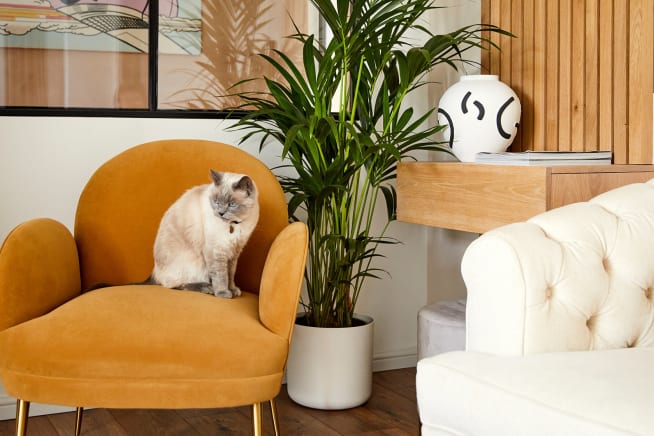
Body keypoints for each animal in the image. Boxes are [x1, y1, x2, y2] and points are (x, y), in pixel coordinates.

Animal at [149, 169, 262, 298]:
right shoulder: (216, 251)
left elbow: (230, 274)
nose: (221, 213)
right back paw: (208, 288)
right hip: (195, 264)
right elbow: (221, 276)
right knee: (175, 285)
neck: (233, 224)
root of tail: (154, 273)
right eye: (216, 202)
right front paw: (223, 293)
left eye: (232, 204)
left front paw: (233, 290)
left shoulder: (234, 251)